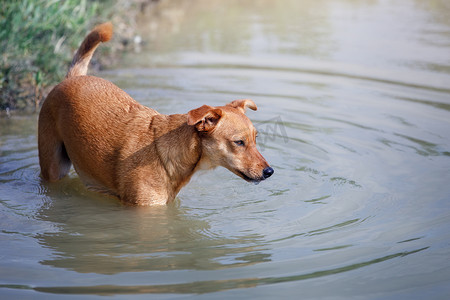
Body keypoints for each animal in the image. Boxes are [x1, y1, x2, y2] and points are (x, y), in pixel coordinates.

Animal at [37, 22, 274, 206]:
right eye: (239, 142)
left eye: (256, 139)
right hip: (53, 165)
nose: (269, 171)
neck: (167, 157)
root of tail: (73, 77)